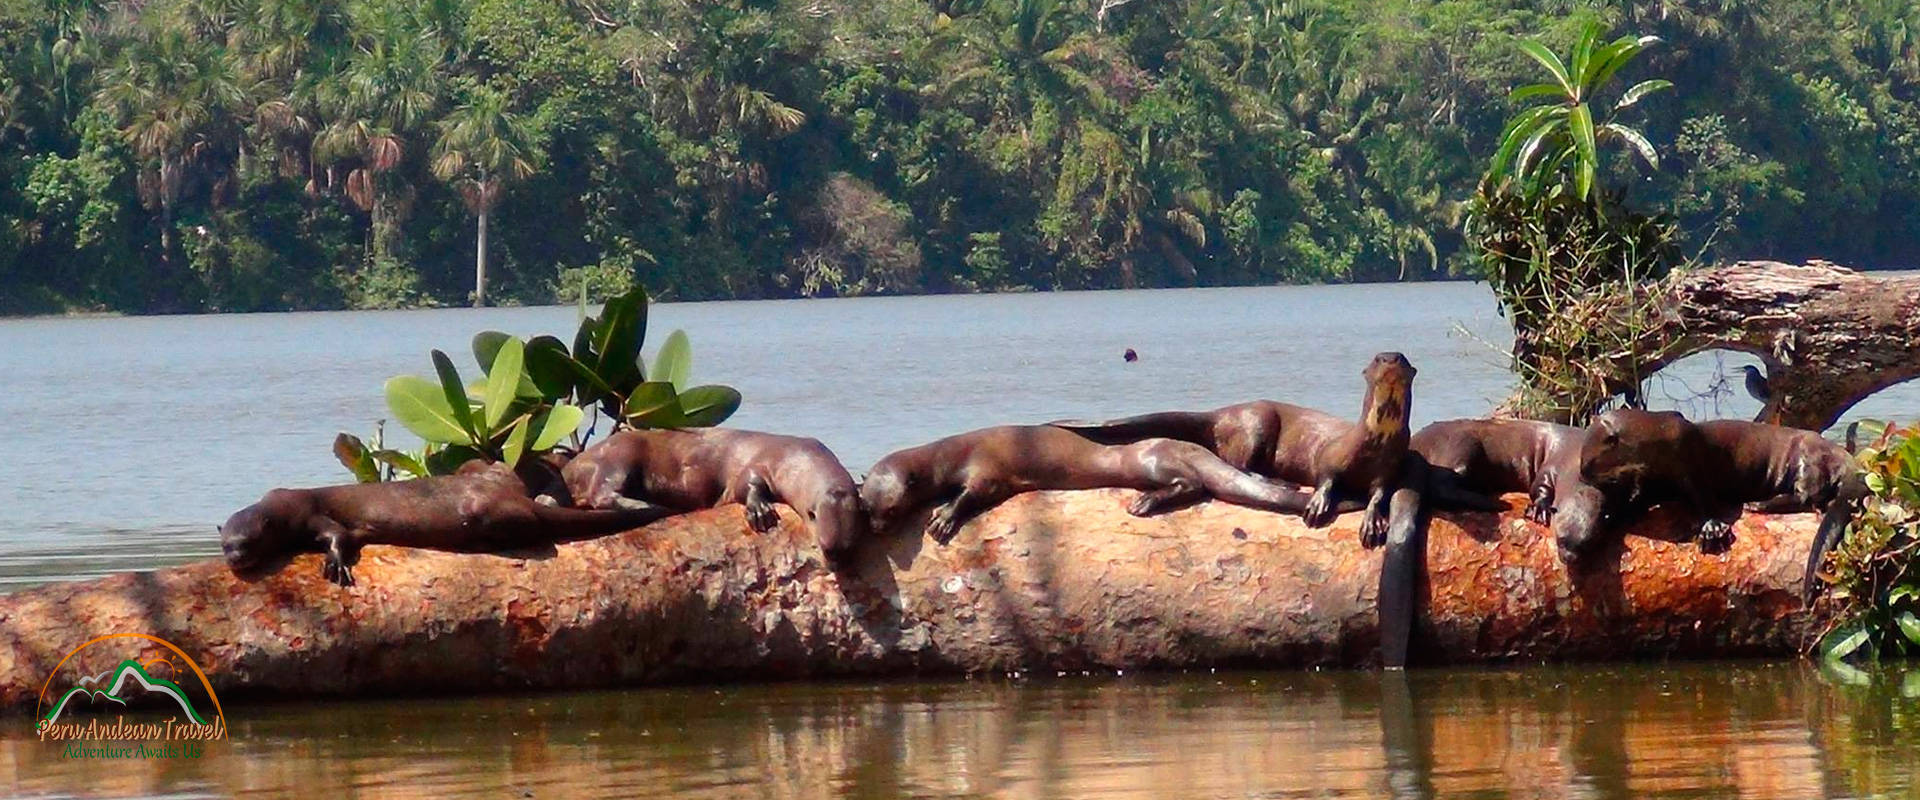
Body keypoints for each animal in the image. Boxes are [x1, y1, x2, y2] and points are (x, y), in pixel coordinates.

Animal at [560, 429, 867, 556]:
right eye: (825, 546)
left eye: (849, 545)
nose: (836, 557)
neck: (797, 458)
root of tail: (573, 465)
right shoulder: (761, 463)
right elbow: (748, 483)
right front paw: (760, 510)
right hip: (620, 455)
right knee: (601, 493)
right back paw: (649, 506)